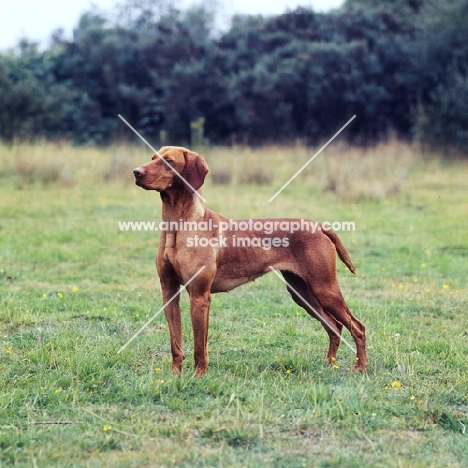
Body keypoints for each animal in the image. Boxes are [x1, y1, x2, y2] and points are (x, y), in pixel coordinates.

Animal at [133, 146, 368, 376]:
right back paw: (329, 363)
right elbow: (176, 343)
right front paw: (174, 376)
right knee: (335, 326)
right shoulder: (169, 291)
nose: (136, 172)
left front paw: (198, 377)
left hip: (324, 289)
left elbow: (200, 346)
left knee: (358, 327)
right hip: (302, 293)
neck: (177, 225)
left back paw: (361, 367)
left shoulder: (200, 295)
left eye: (169, 161)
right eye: (152, 158)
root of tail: (319, 225)